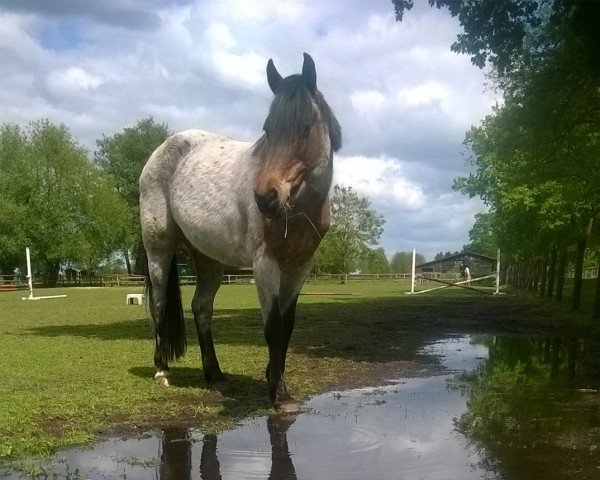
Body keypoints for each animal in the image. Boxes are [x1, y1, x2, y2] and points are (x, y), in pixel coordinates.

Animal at [138, 53, 340, 412]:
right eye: (267, 128)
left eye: (305, 128)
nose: (265, 198)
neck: (297, 211)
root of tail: (161, 152)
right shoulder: (264, 265)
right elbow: (273, 328)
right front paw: (279, 393)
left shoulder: (299, 268)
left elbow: (287, 327)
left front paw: (275, 379)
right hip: (158, 251)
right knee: (159, 304)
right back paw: (162, 370)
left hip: (208, 260)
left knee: (201, 308)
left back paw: (215, 375)